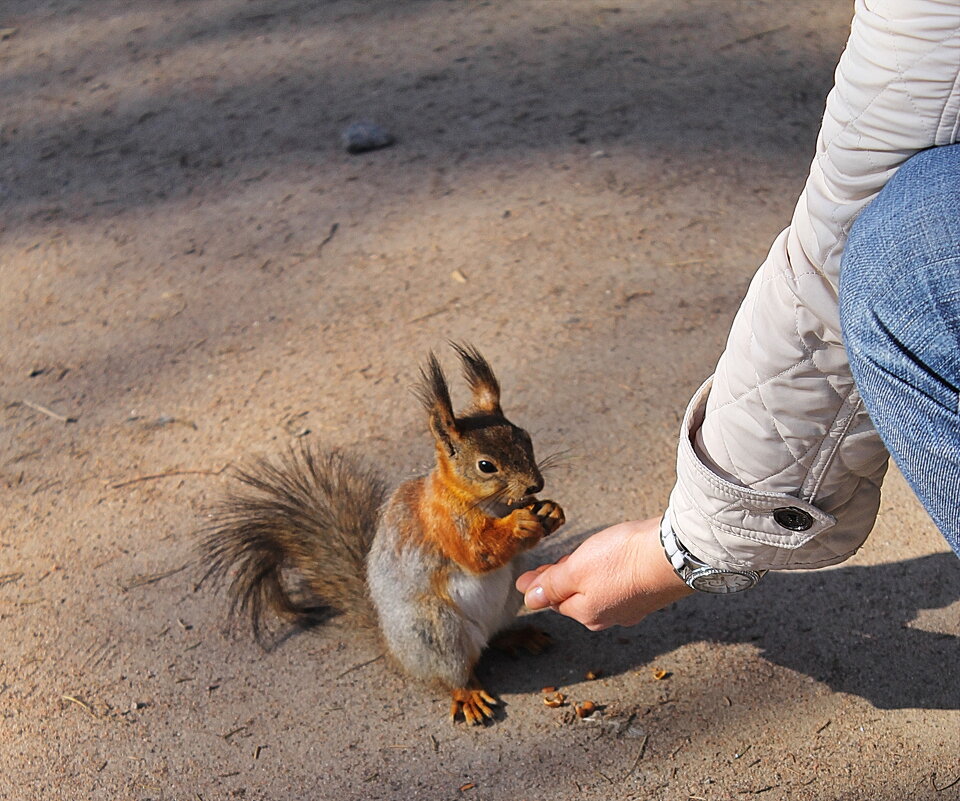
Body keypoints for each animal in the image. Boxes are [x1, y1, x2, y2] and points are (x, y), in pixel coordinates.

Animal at [202, 344, 564, 724]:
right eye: (485, 466)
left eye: (526, 438)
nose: (536, 485)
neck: (488, 503)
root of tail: (394, 653)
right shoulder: (442, 523)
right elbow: (476, 552)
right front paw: (520, 524)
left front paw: (550, 510)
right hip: (435, 631)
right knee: (454, 673)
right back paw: (469, 694)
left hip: (508, 597)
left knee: (493, 638)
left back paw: (518, 636)